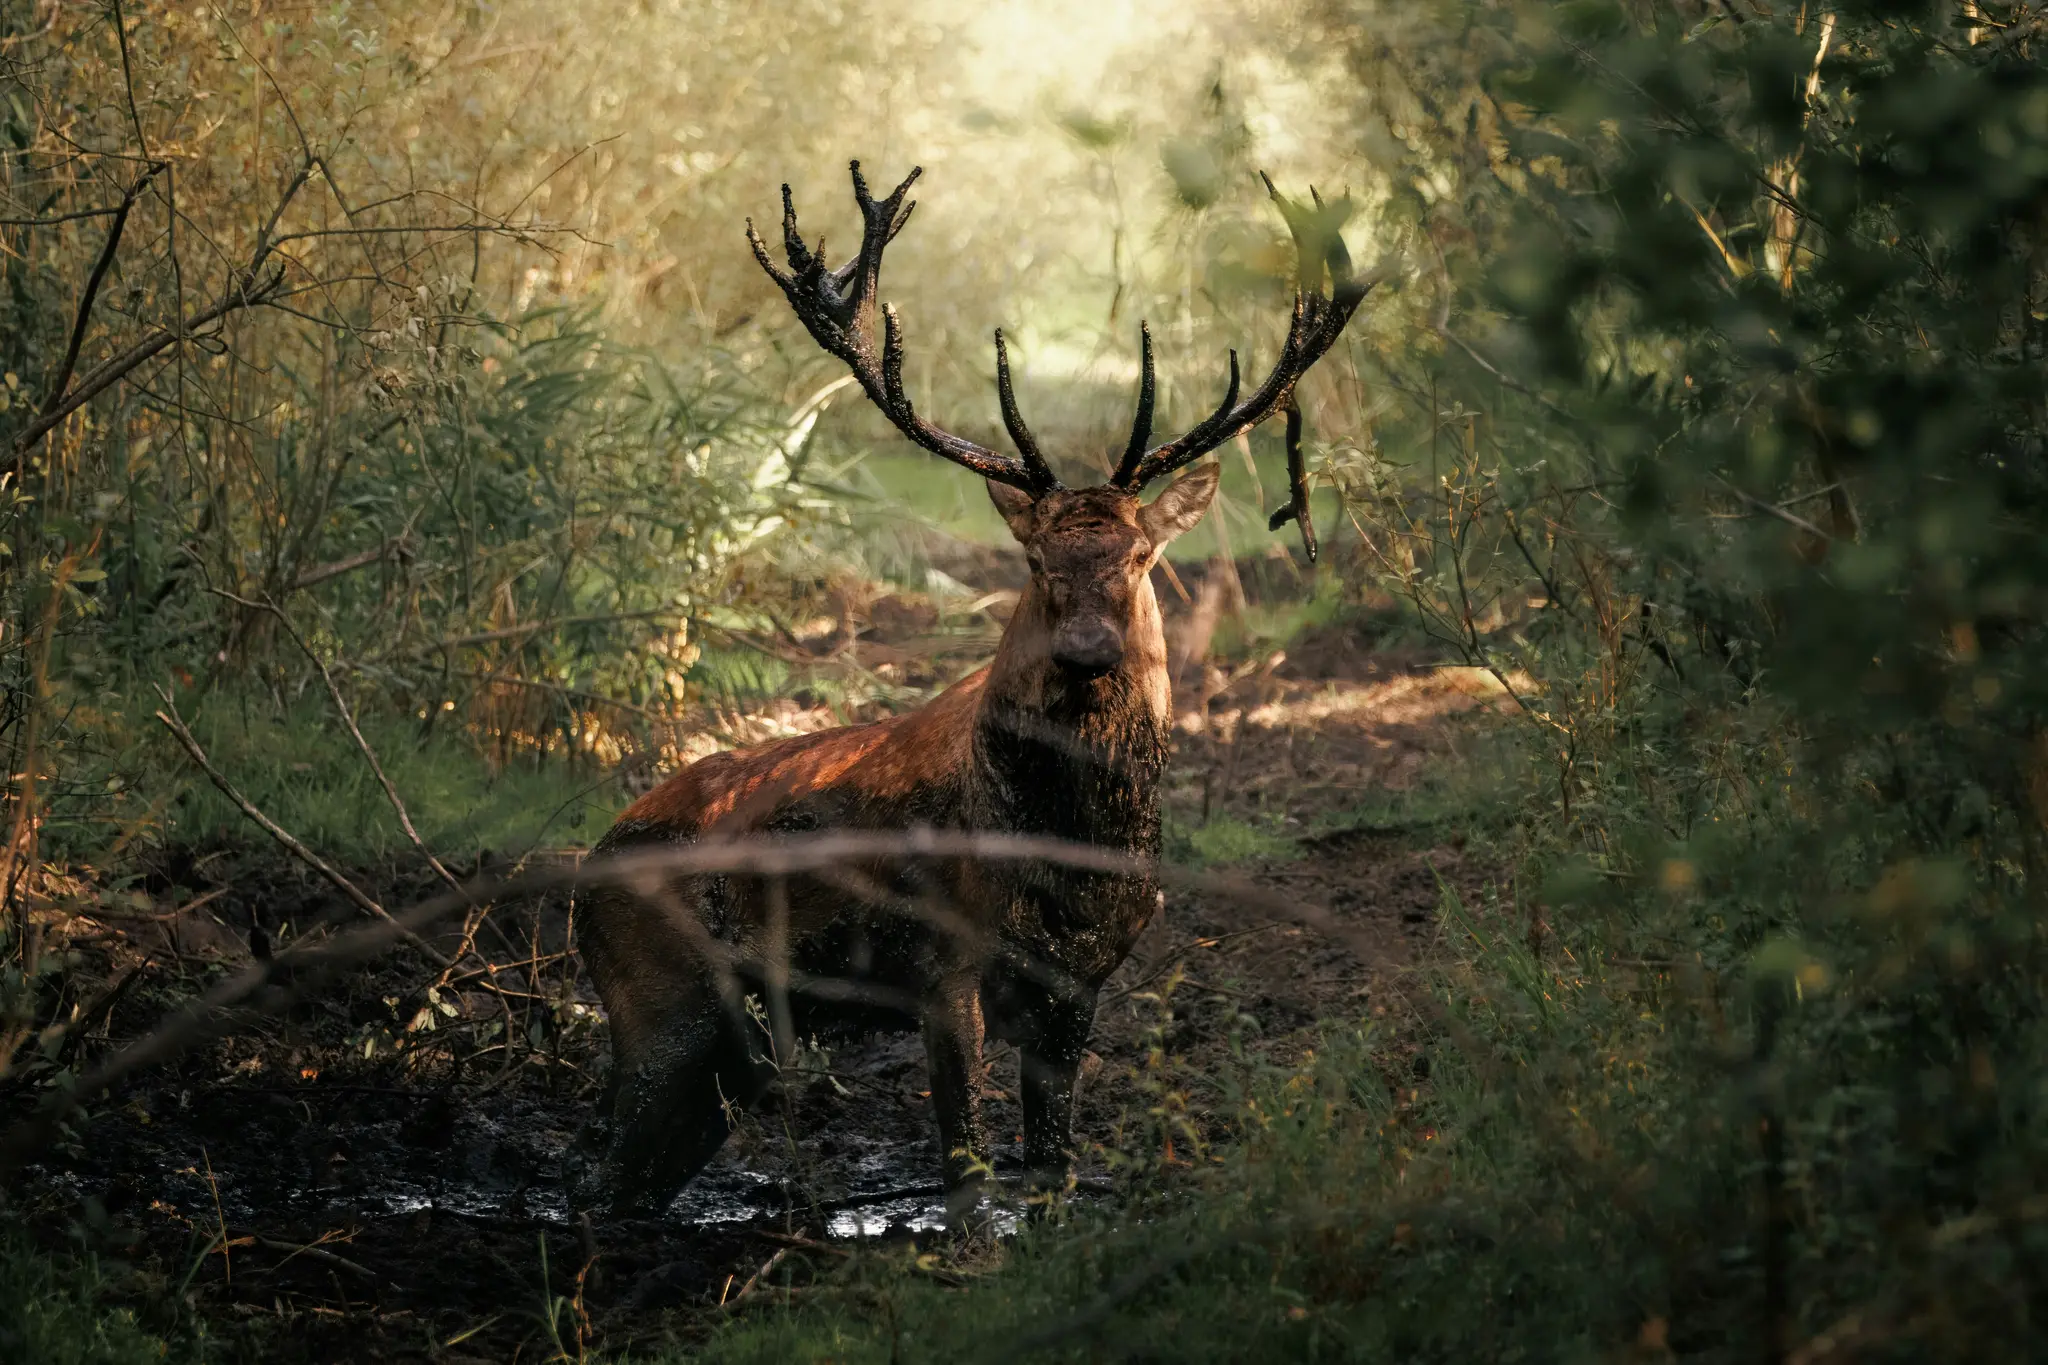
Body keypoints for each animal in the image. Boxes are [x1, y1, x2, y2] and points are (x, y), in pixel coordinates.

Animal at [570, 162, 1367, 1223]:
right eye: (1035, 559)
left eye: (1142, 554)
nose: (1087, 646)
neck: (1067, 863)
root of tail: (583, 875)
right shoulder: (939, 965)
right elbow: (967, 1173)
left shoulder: (1080, 983)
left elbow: (1052, 1164)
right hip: (657, 996)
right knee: (597, 1173)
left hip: (717, 1045)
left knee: (635, 1174)